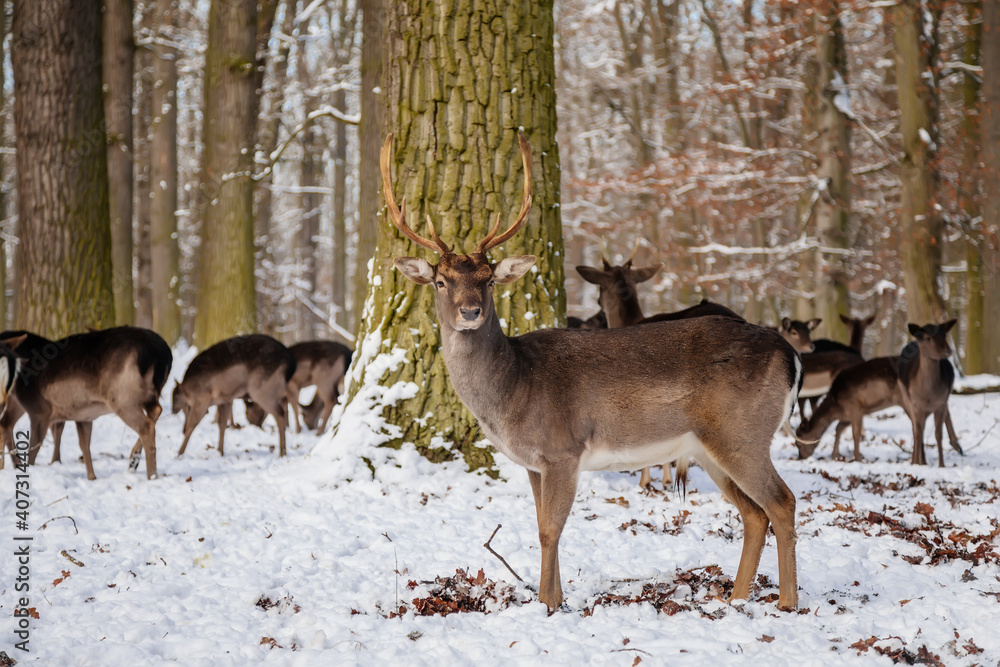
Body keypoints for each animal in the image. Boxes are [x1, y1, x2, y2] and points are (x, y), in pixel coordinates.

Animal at [0, 327, 172, 480]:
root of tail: (161, 354)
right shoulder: (83, 414)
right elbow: (84, 443)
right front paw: (92, 477)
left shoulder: (39, 411)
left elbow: (35, 449)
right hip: (144, 395)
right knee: (156, 410)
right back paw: (134, 462)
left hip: (123, 398)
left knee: (146, 425)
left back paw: (150, 475)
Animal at [898, 320, 962, 467]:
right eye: (928, 338)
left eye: (944, 335)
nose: (948, 350)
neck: (928, 394)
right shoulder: (915, 404)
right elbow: (917, 432)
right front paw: (915, 463)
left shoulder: (940, 403)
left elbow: (938, 434)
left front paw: (941, 465)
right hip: (905, 400)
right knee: (916, 428)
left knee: (945, 414)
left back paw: (957, 446)